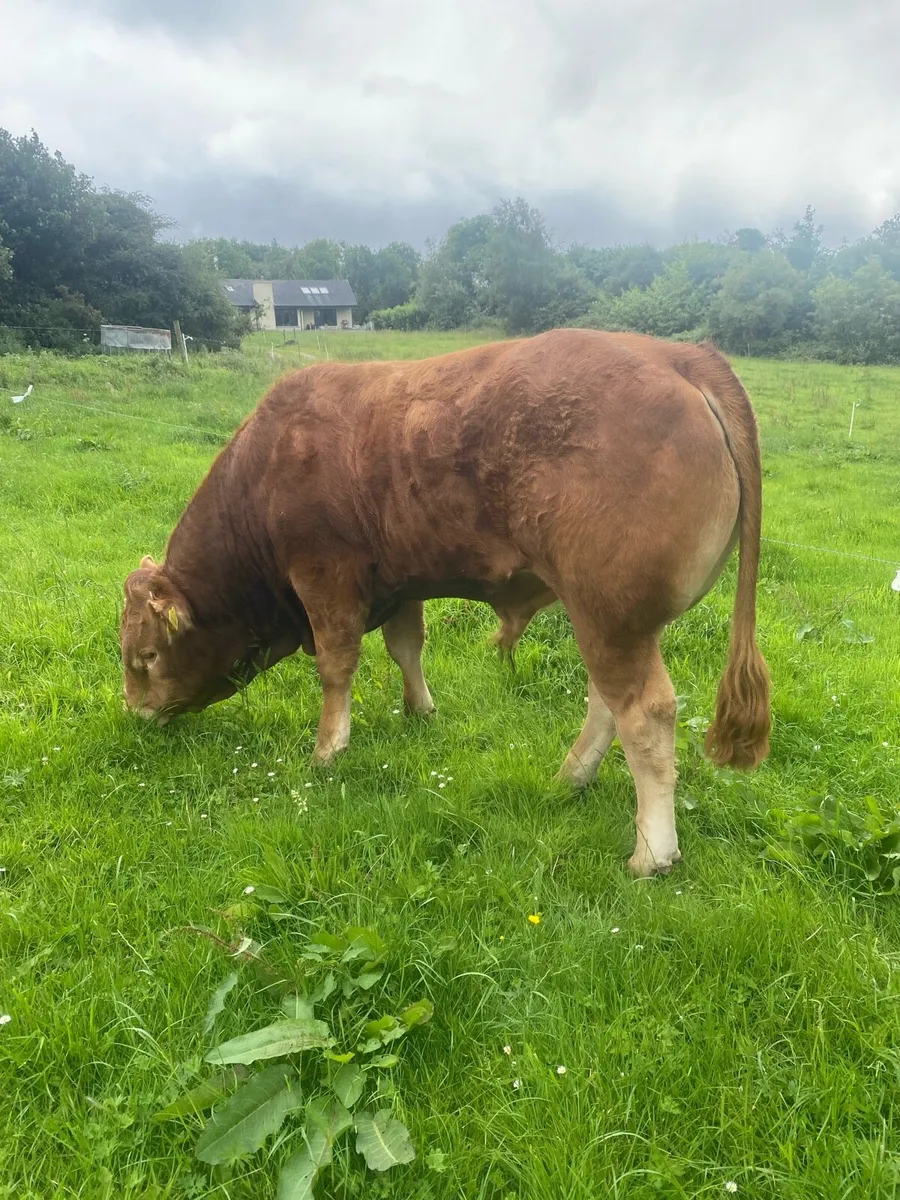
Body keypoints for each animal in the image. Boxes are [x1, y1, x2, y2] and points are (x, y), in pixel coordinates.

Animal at [120, 329, 770, 876]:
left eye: (146, 656)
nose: (136, 713)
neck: (262, 475)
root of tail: (675, 353)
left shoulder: (325, 577)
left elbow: (336, 665)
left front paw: (328, 751)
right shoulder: (398, 584)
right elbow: (406, 648)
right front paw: (420, 711)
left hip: (610, 617)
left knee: (645, 713)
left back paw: (651, 852)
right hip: (612, 621)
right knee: (607, 702)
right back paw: (571, 778)